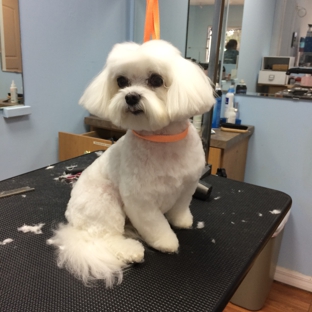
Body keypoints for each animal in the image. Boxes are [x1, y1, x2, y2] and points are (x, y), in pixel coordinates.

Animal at [48, 39, 214, 288]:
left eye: (156, 80)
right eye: (121, 81)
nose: (131, 97)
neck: (162, 140)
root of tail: (73, 223)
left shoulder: (189, 184)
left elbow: (181, 206)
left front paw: (182, 220)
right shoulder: (140, 200)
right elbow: (156, 225)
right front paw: (167, 241)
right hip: (105, 202)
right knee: (107, 236)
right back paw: (130, 250)